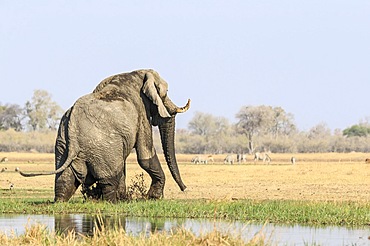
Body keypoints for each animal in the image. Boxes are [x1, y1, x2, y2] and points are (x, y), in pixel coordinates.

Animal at [19, 68, 191, 202]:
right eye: (166, 93)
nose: (185, 188)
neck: (138, 73)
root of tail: (73, 127)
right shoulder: (141, 112)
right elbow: (145, 155)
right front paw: (153, 198)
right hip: (102, 147)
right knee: (109, 180)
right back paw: (111, 201)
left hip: (63, 145)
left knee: (64, 180)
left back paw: (63, 201)